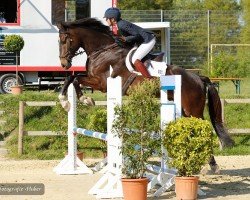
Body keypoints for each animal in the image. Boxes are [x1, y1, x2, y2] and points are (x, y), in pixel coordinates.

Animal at [56, 18, 234, 170]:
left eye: (64, 40)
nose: (64, 64)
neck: (102, 50)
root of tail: (199, 78)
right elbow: (73, 78)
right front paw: (72, 100)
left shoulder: (103, 83)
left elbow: (75, 78)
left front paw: (77, 100)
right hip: (184, 110)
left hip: (193, 110)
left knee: (204, 129)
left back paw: (212, 164)